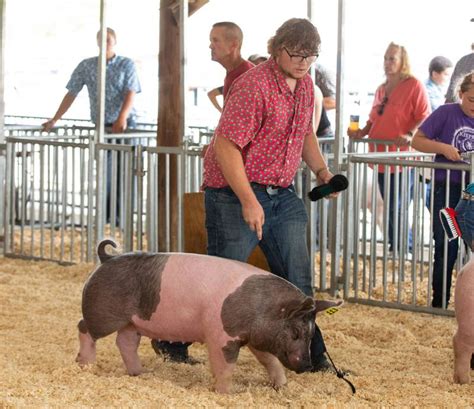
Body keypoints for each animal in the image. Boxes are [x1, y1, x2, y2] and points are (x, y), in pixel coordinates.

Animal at [76, 239, 340, 392]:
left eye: (311, 333)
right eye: (295, 332)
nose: (307, 365)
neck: (261, 307)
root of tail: (107, 258)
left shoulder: (257, 337)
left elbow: (269, 360)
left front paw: (281, 386)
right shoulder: (221, 335)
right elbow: (226, 365)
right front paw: (227, 393)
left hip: (133, 322)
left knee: (125, 342)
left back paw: (139, 373)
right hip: (103, 312)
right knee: (84, 328)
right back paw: (86, 365)